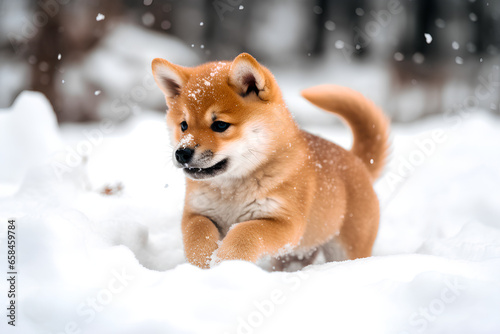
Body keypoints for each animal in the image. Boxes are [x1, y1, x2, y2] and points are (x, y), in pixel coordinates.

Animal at [150, 53, 388, 270]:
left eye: (220, 125)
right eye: (183, 125)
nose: (182, 153)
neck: (232, 192)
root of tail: (357, 161)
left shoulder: (285, 223)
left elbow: (245, 232)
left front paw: (226, 263)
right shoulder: (197, 213)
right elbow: (198, 234)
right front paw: (203, 264)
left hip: (346, 247)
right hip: (295, 254)